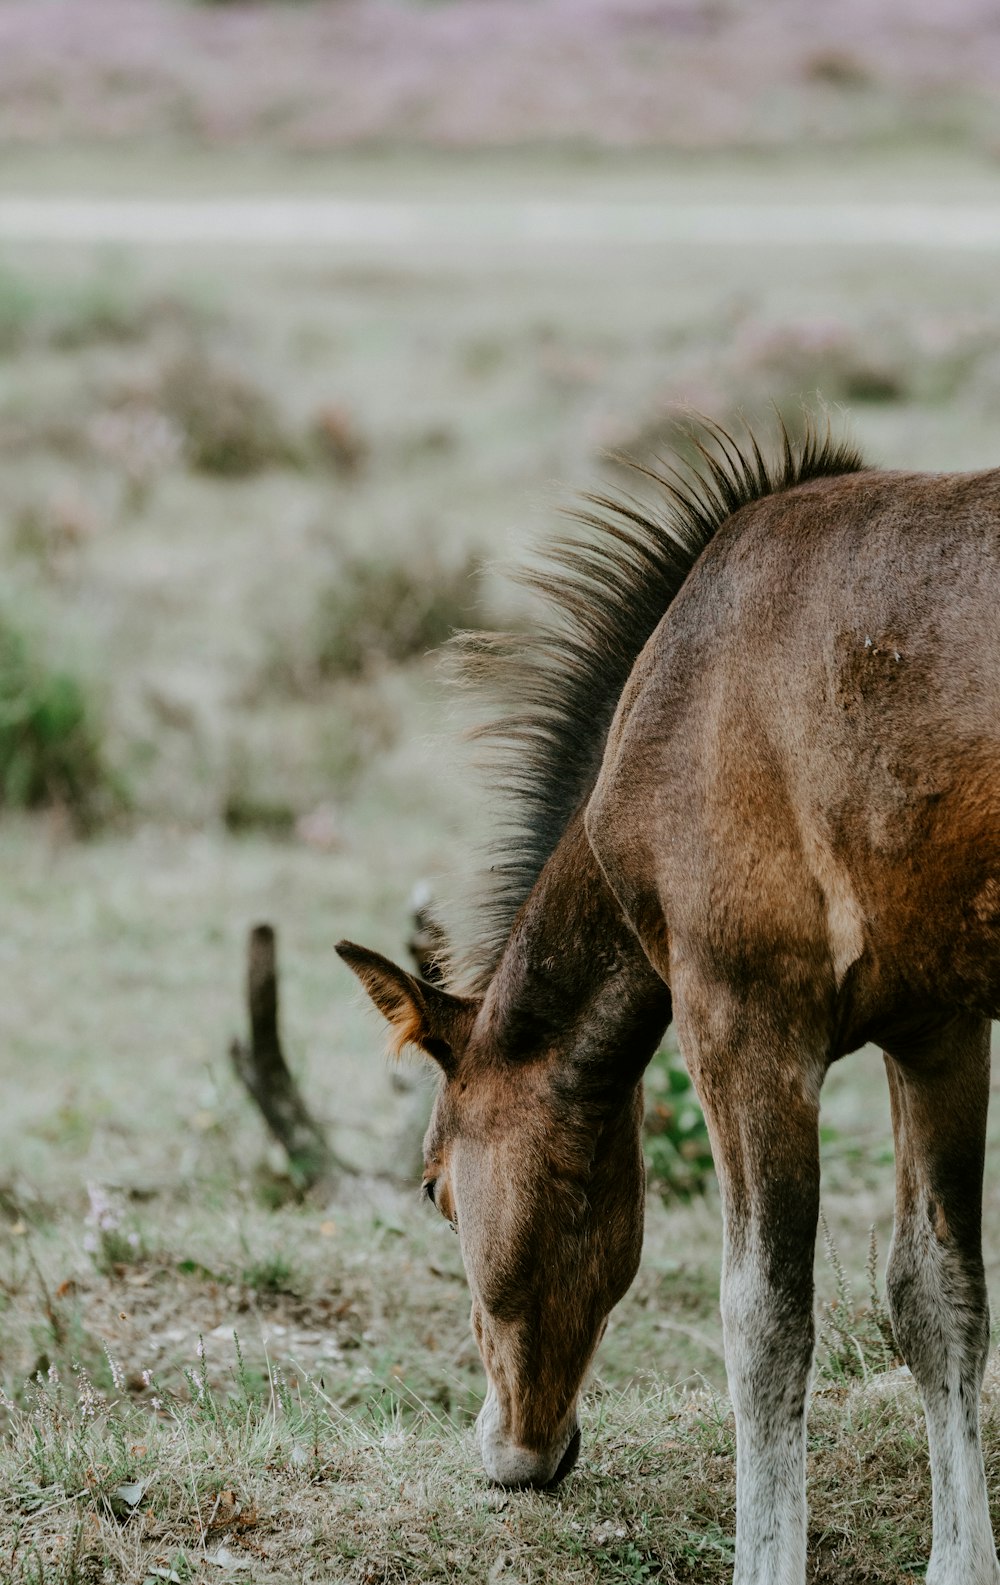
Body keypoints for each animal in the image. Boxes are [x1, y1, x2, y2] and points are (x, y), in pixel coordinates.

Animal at [335, 424, 1000, 1585]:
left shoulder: (744, 1020)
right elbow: (940, 1299)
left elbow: (765, 1320)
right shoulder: (939, 1029)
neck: (686, 691)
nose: (516, 1451)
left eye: (433, 1190)